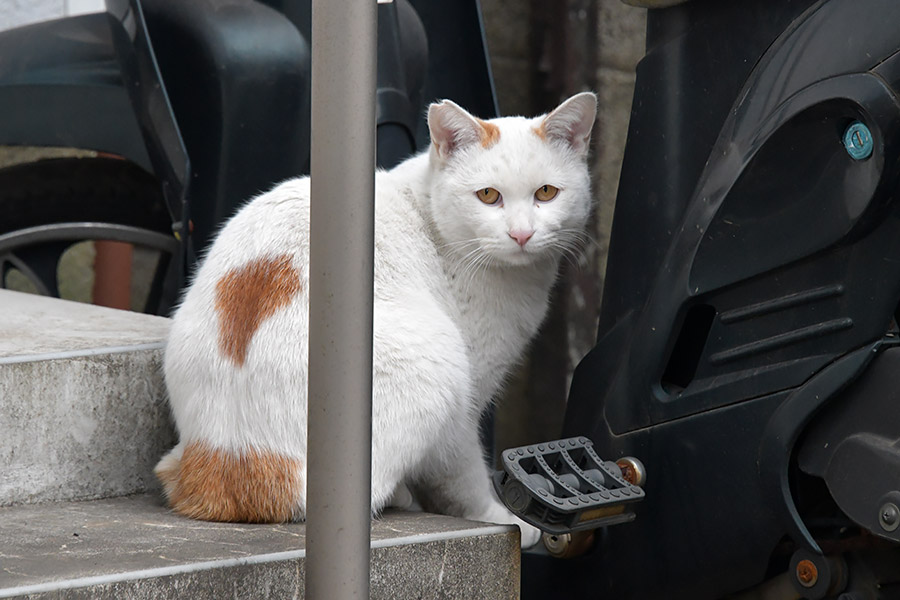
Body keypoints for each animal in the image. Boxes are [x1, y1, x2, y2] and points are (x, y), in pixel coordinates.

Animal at [157, 92, 596, 548]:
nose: (522, 234)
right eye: (488, 195)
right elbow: (463, 477)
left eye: (546, 193)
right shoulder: (467, 397)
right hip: (438, 363)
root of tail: (230, 462)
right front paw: (502, 518)